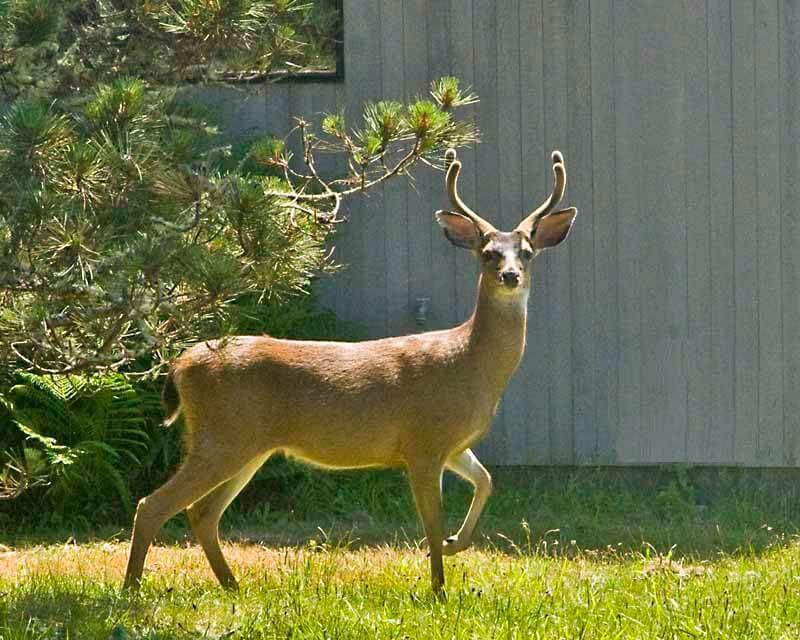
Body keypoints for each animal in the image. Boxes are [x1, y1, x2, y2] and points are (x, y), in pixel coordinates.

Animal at [123, 148, 576, 596]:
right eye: (487, 253)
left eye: (527, 252)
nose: (510, 275)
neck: (468, 364)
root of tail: (181, 364)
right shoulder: (423, 440)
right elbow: (431, 523)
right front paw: (438, 589)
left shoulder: (453, 444)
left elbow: (486, 481)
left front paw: (455, 545)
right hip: (222, 438)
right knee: (153, 505)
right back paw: (132, 590)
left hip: (248, 445)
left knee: (202, 512)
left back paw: (232, 586)